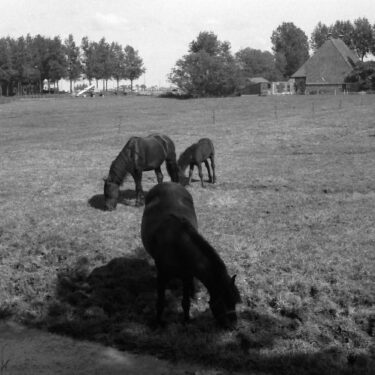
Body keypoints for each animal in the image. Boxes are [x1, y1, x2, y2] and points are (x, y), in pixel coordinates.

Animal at [141, 181, 241, 326]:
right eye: (224, 302)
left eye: (234, 302)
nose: (233, 326)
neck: (177, 243)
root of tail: (168, 182)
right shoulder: (162, 277)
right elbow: (160, 302)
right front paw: (158, 322)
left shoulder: (187, 276)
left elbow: (185, 302)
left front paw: (187, 320)